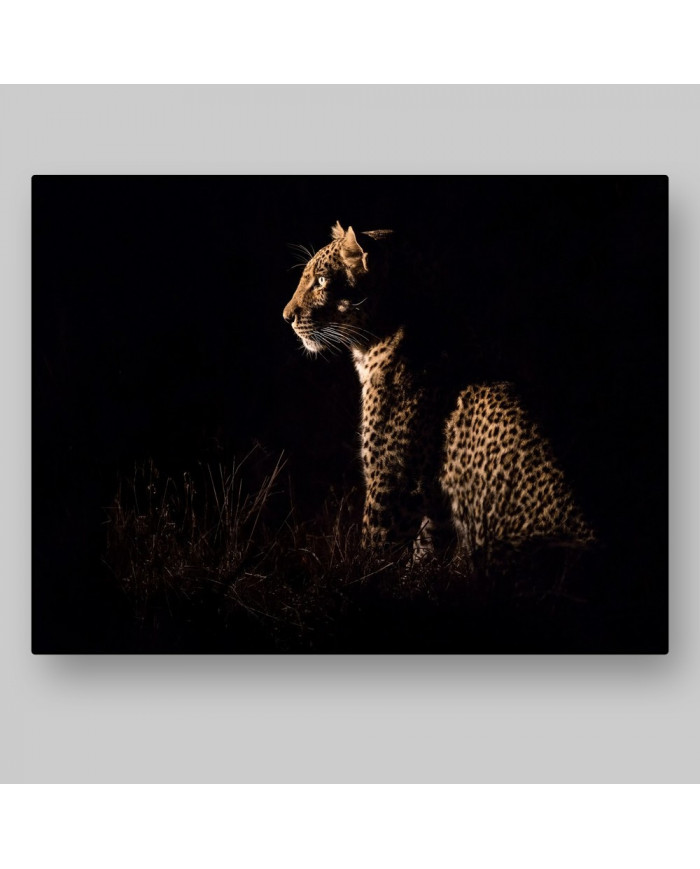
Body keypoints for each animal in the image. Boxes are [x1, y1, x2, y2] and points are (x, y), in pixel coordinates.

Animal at [282, 220, 594, 563]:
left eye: (322, 280)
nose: (286, 317)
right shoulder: (434, 504)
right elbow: (425, 551)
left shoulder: (393, 482)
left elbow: (375, 549)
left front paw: (361, 574)